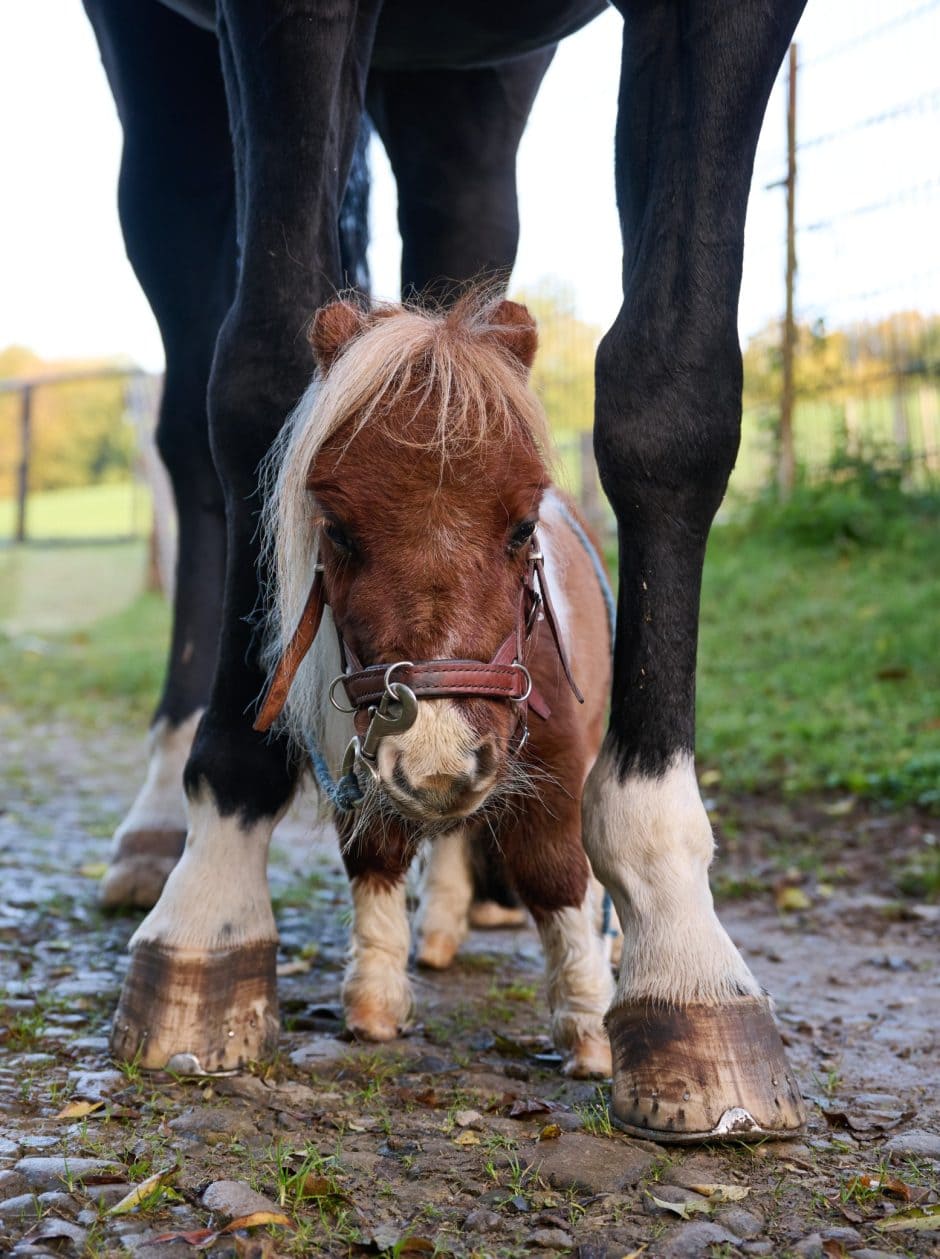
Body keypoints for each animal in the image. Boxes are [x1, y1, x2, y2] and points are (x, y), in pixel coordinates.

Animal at [259, 292, 611, 1072]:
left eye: (522, 527)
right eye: (339, 529)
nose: (437, 755)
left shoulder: (557, 763)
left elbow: (557, 872)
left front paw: (591, 1025)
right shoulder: (359, 758)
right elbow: (375, 857)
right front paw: (375, 1002)